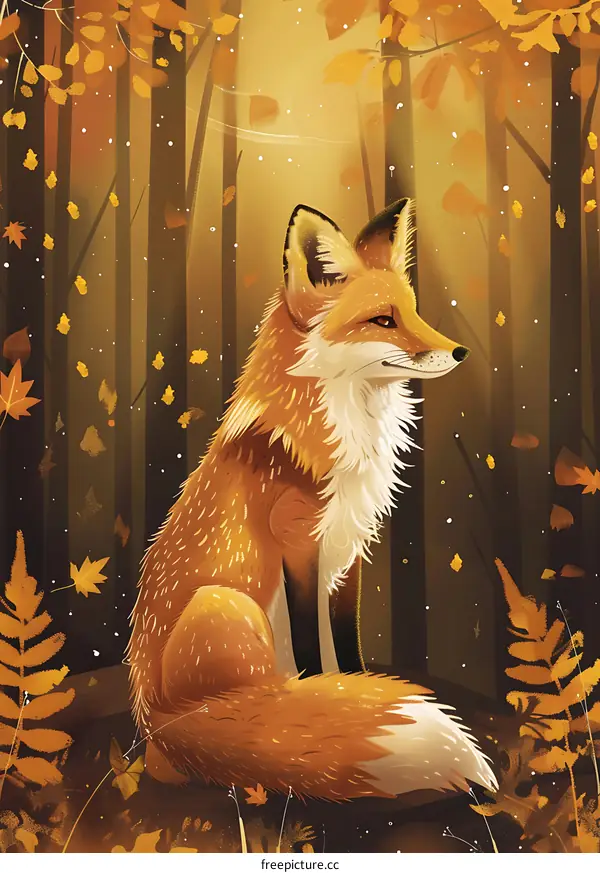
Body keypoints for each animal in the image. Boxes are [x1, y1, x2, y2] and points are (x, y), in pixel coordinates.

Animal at [127, 198, 497, 801]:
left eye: (414, 312)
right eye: (383, 320)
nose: (460, 352)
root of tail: (154, 716)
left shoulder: (351, 548)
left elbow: (344, 642)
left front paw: (358, 687)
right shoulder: (299, 541)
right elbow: (308, 646)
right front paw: (330, 695)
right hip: (227, 605)